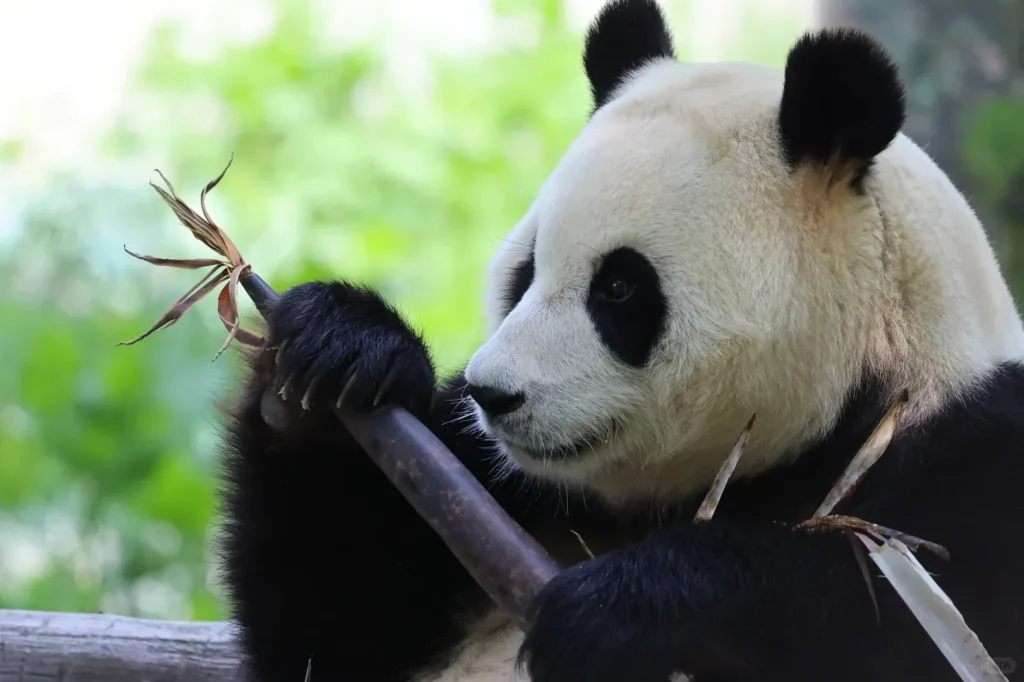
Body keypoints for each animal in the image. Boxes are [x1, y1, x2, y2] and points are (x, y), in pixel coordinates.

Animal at [216, 0, 1024, 680]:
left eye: (619, 289)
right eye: (526, 271)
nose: (491, 395)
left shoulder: (969, 453)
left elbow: (896, 613)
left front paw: (615, 608)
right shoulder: (502, 490)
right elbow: (328, 633)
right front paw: (336, 356)